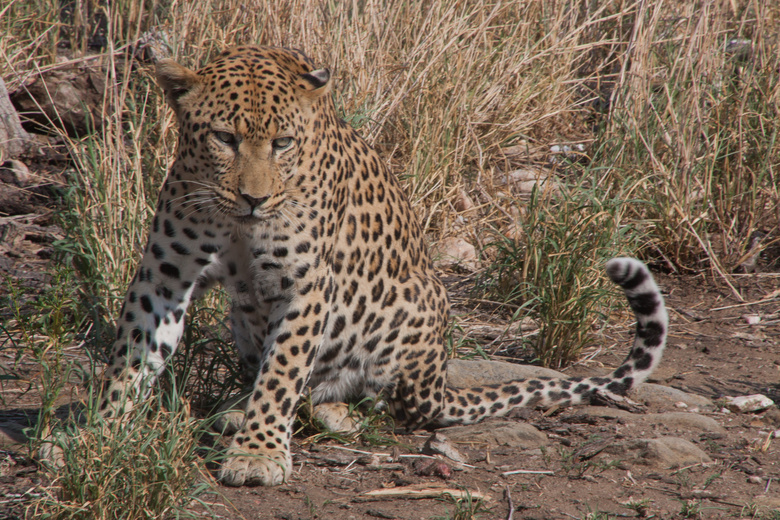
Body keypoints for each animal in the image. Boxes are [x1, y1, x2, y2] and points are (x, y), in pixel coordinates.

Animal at [90, 45, 664, 488]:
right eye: (224, 138)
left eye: (282, 143)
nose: (255, 199)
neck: (236, 223)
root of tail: (438, 381)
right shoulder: (164, 276)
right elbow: (131, 353)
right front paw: (98, 432)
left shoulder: (305, 288)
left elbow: (283, 371)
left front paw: (258, 454)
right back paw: (235, 409)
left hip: (413, 304)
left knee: (374, 400)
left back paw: (327, 412)